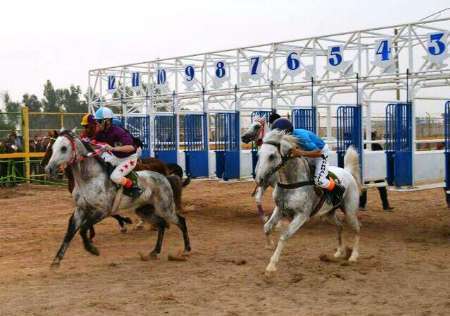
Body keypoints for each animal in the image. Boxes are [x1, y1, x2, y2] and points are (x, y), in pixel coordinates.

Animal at [46, 130, 192, 266]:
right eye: (53, 147)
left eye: (64, 148)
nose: (48, 169)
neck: (90, 178)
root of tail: (164, 177)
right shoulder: (80, 210)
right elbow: (70, 233)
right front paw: (56, 260)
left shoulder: (102, 211)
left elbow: (83, 229)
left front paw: (92, 249)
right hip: (143, 210)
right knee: (161, 224)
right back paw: (154, 252)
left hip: (165, 208)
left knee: (181, 221)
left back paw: (186, 250)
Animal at [256, 130, 362, 276]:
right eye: (259, 154)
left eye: (271, 156)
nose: (259, 179)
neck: (292, 182)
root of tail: (348, 172)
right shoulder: (280, 209)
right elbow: (266, 227)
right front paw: (269, 245)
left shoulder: (301, 215)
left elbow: (284, 236)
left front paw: (272, 265)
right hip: (328, 214)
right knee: (340, 226)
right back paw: (339, 252)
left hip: (350, 212)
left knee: (357, 228)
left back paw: (354, 256)